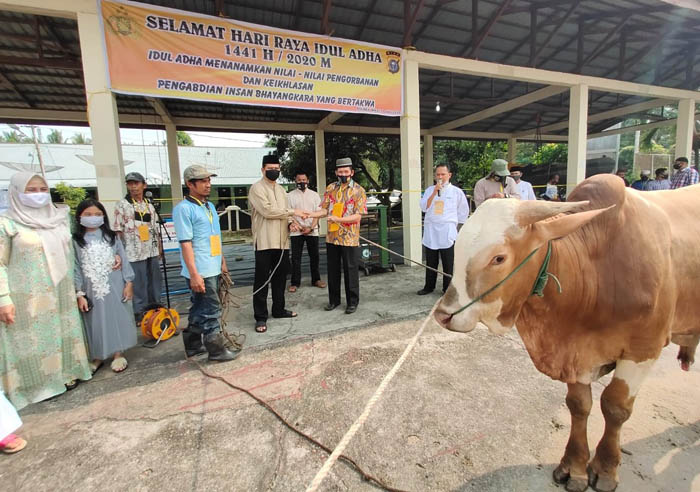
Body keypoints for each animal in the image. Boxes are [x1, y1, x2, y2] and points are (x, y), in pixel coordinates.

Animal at [432, 175, 700, 490]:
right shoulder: (576, 355)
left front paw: (605, 469)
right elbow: (579, 405)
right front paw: (575, 466)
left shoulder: (642, 351)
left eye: (498, 258)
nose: (443, 314)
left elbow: (615, 407)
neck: (597, 273)